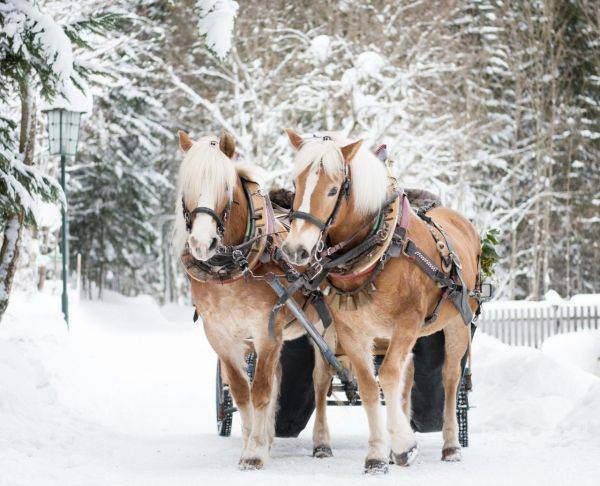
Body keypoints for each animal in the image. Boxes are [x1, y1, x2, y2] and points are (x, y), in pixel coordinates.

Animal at [173, 131, 328, 468]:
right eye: (186, 188)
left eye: (225, 188)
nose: (201, 243)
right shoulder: (221, 336)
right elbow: (242, 391)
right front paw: (251, 441)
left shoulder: (266, 332)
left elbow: (260, 392)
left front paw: (255, 452)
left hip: (324, 329)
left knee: (321, 382)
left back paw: (322, 442)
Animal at [282, 129, 482, 474]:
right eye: (296, 184)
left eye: (333, 189)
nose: (296, 250)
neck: (380, 250)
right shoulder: (352, 331)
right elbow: (369, 385)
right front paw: (378, 453)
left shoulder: (407, 323)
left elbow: (387, 375)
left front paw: (403, 444)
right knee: (400, 376)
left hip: (458, 322)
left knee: (450, 378)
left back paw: (451, 445)